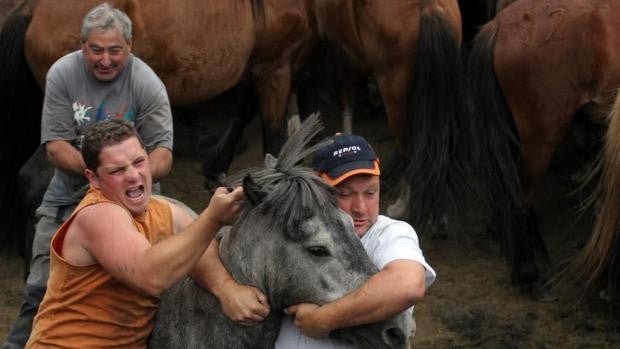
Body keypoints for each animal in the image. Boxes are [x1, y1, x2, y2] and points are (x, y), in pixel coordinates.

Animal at [0, 0, 318, 254]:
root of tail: (34, 9)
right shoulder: (274, 70)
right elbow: (275, 139)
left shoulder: (256, 72)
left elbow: (244, 109)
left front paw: (216, 170)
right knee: (33, 179)